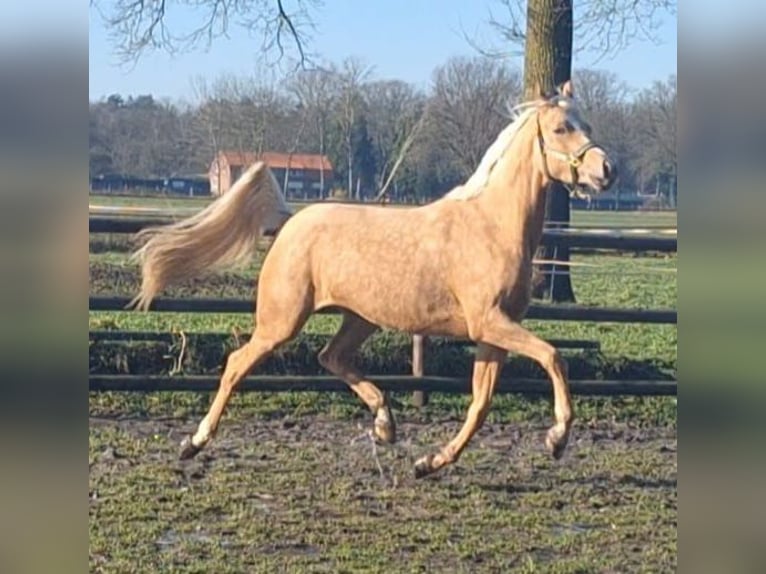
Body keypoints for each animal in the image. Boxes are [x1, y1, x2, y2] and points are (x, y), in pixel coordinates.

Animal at [132, 82, 616, 482]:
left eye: (588, 125)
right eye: (560, 128)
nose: (606, 170)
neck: (492, 226)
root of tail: (289, 220)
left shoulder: (493, 333)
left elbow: (480, 404)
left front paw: (429, 462)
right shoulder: (489, 323)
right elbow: (554, 357)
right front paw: (557, 438)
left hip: (360, 317)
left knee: (331, 357)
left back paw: (386, 424)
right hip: (281, 321)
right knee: (237, 364)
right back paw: (193, 443)